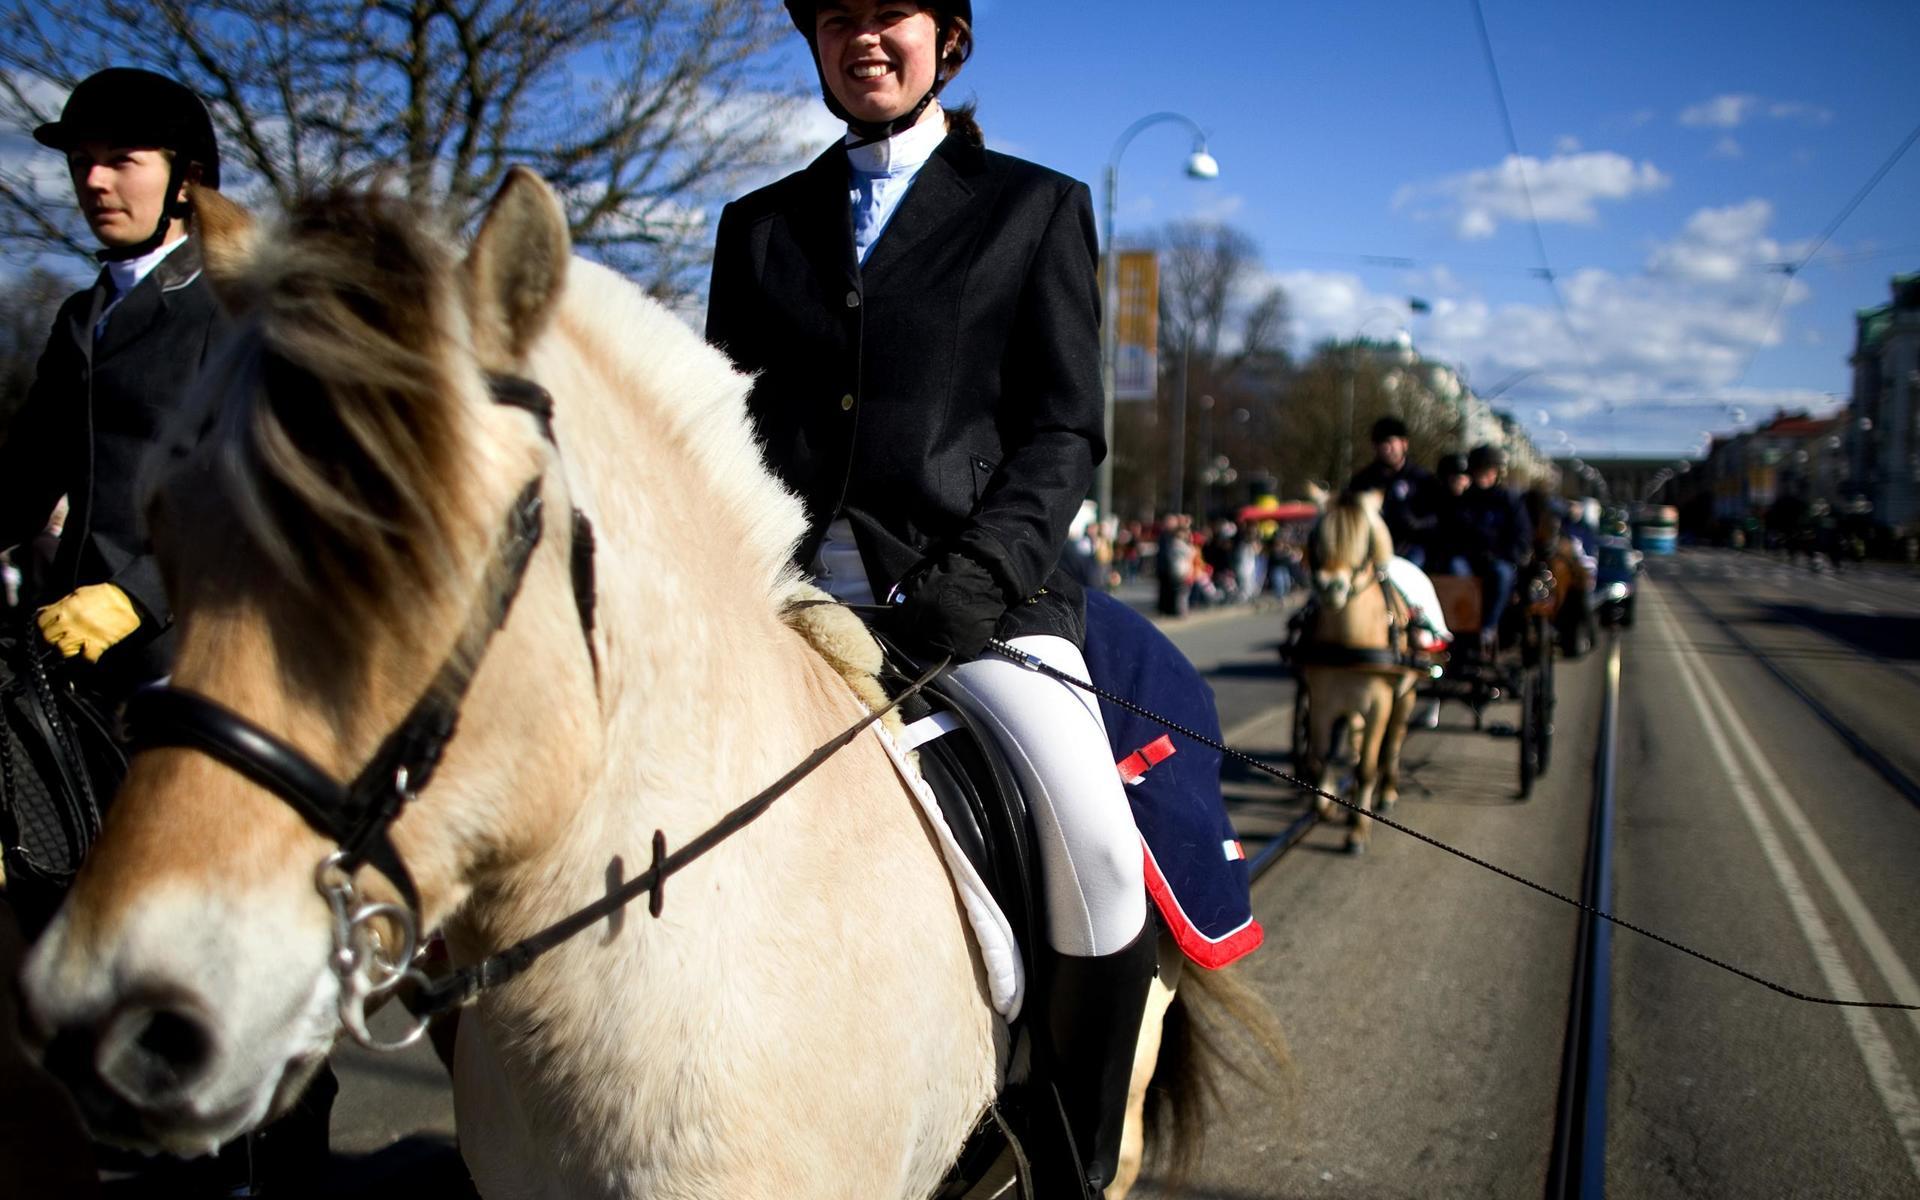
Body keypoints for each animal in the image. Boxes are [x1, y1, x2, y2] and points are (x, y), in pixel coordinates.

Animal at [1297, 495, 1420, 852]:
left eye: (1362, 540)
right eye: (1316, 535)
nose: (1330, 586)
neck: (1349, 641)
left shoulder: (1380, 703)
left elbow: (1368, 765)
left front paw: (1357, 829)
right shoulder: (1322, 701)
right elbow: (1319, 758)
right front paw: (1325, 807)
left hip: (1405, 696)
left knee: (1391, 744)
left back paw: (1387, 790)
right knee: (1354, 738)